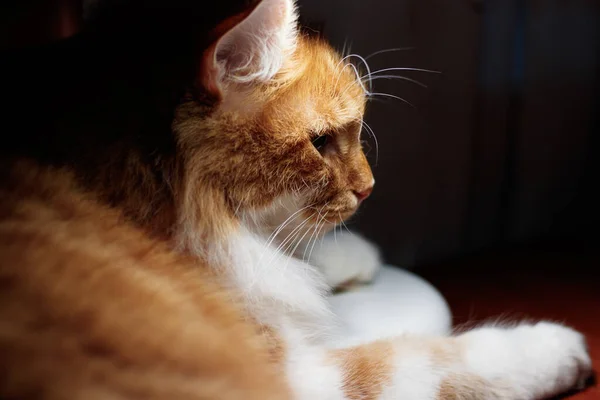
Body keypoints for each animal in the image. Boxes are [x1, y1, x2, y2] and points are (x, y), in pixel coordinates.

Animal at [0, 0, 592, 396]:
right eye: (322, 142)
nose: (369, 188)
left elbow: (292, 263)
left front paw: (345, 259)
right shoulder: (291, 374)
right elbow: (433, 360)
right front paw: (553, 350)